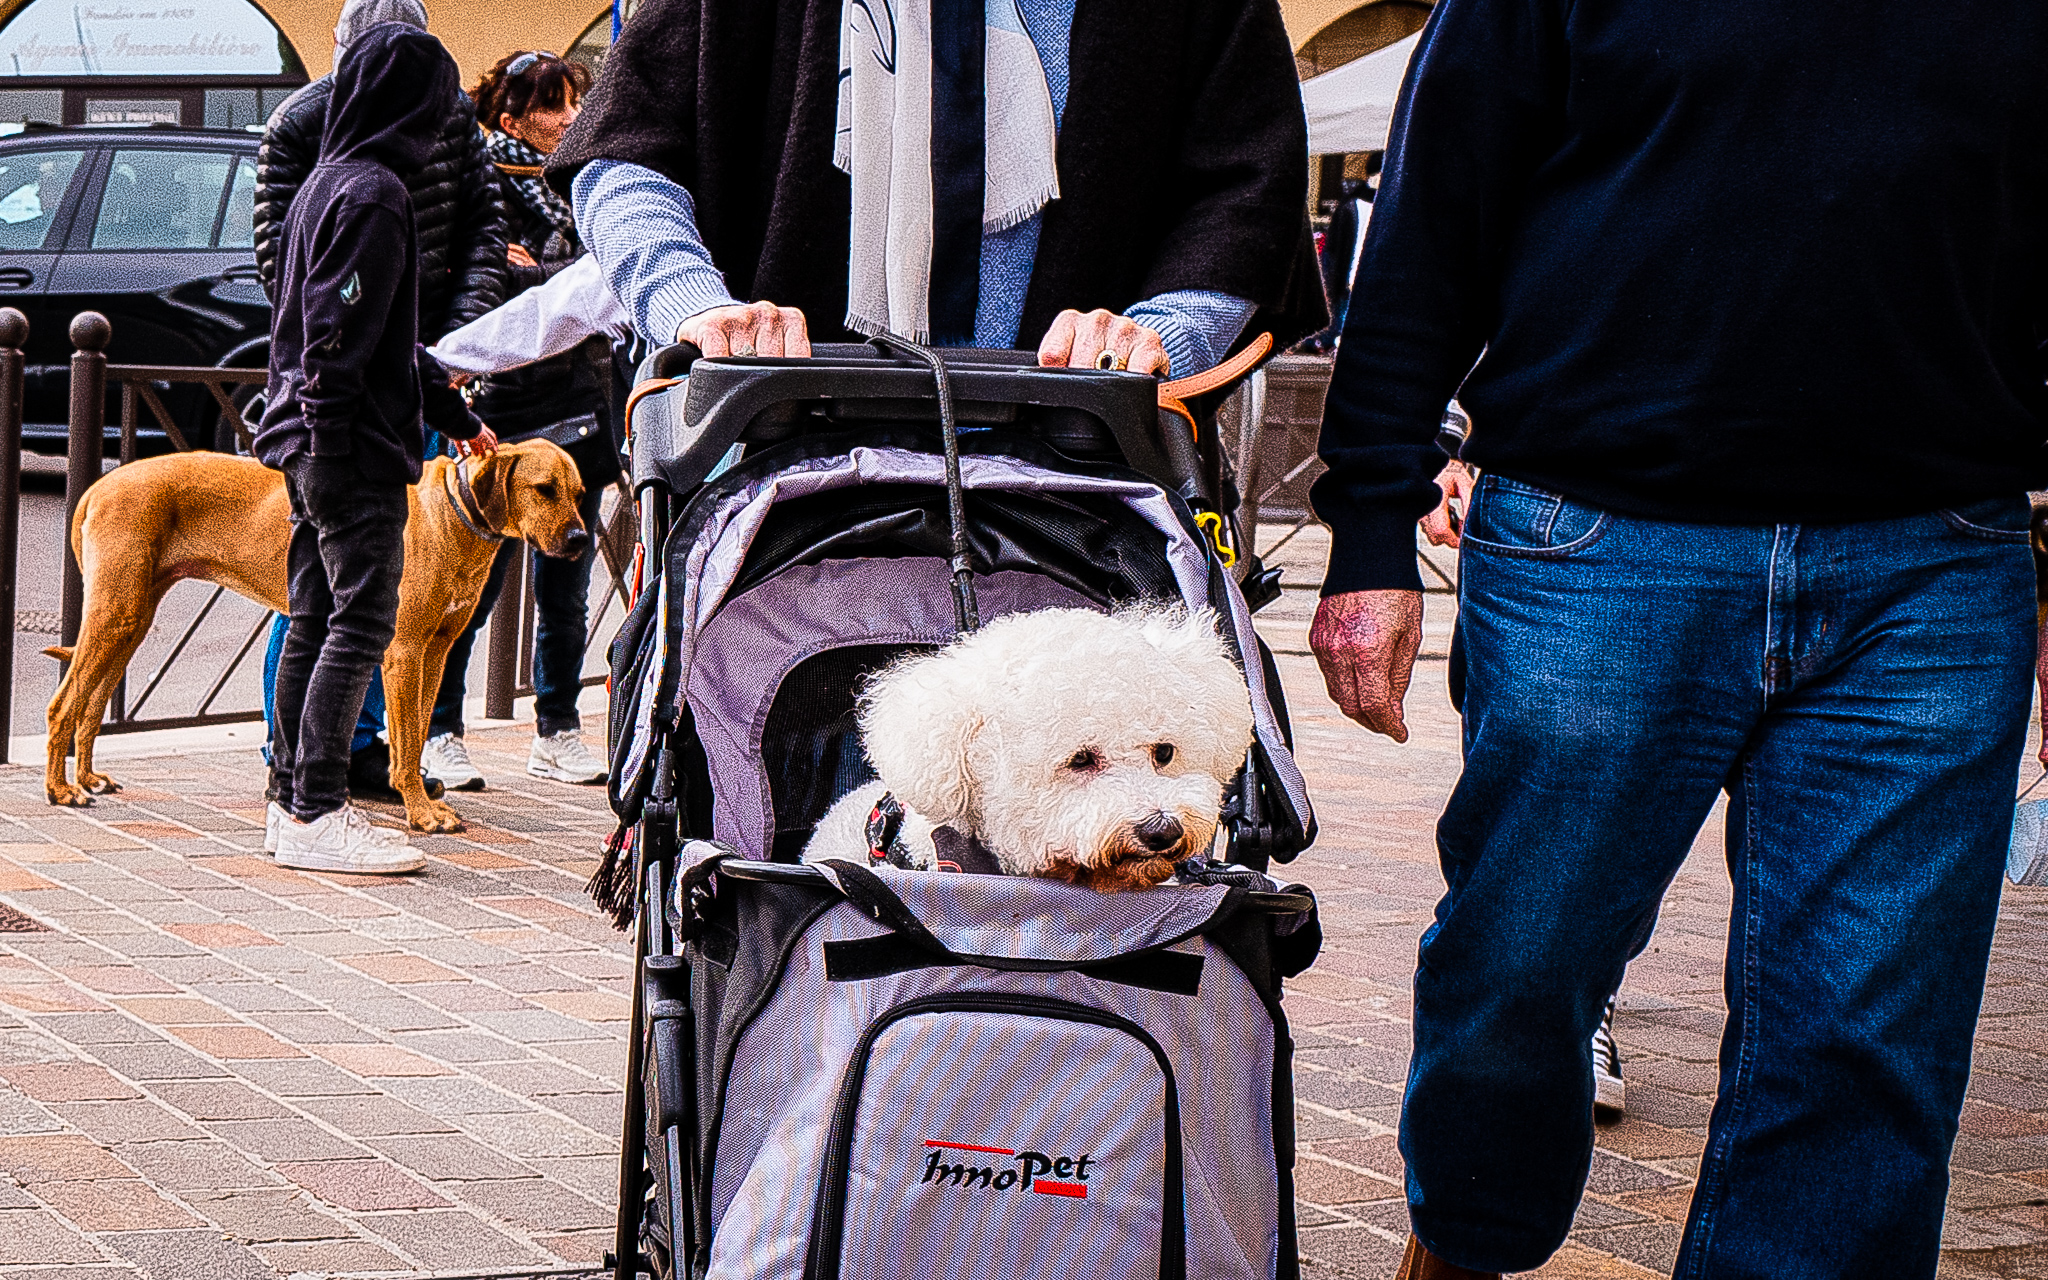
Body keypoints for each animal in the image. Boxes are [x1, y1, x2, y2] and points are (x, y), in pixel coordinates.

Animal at [44, 438, 589, 835]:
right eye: (544, 489)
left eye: (580, 494)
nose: (581, 540)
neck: (454, 513)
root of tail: (98, 486)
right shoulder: (404, 652)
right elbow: (406, 741)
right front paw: (419, 812)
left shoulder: (435, 652)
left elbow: (414, 739)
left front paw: (418, 799)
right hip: (115, 613)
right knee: (62, 705)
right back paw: (61, 790)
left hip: (130, 619)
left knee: (90, 705)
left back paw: (87, 776)